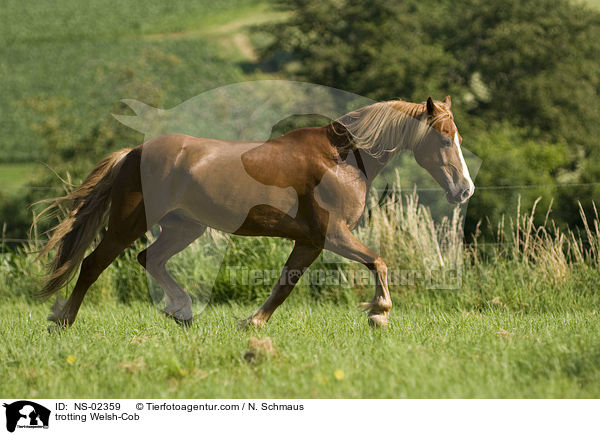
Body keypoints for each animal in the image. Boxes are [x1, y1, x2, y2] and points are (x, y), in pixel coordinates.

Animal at [39, 95, 476, 328]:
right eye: (444, 139)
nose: (465, 190)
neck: (341, 159)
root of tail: (133, 152)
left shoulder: (309, 242)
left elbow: (284, 284)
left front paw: (251, 323)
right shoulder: (332, 235)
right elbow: (378, 261)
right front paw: (379, 314)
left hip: (185, 228)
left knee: (150, 258)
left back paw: (181, 310)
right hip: (130, 222)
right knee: (94, 264)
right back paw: (63, 320)